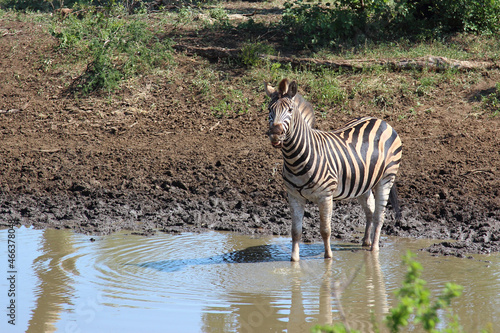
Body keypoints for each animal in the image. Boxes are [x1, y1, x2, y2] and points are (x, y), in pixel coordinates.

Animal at [266, 79, 402, 260]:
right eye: (269, 109)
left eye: (289, 110)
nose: (275, 133)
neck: (295, 159)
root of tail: (380, 120)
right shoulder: (294, 196)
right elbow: (295, 231)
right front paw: (294, 260)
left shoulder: (325, 196)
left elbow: (325, 230)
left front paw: (328, 257)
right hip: (363, 182)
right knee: (370, 210)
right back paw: (366, 241)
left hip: (387, 177)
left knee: (380, 215)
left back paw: (374, 248)